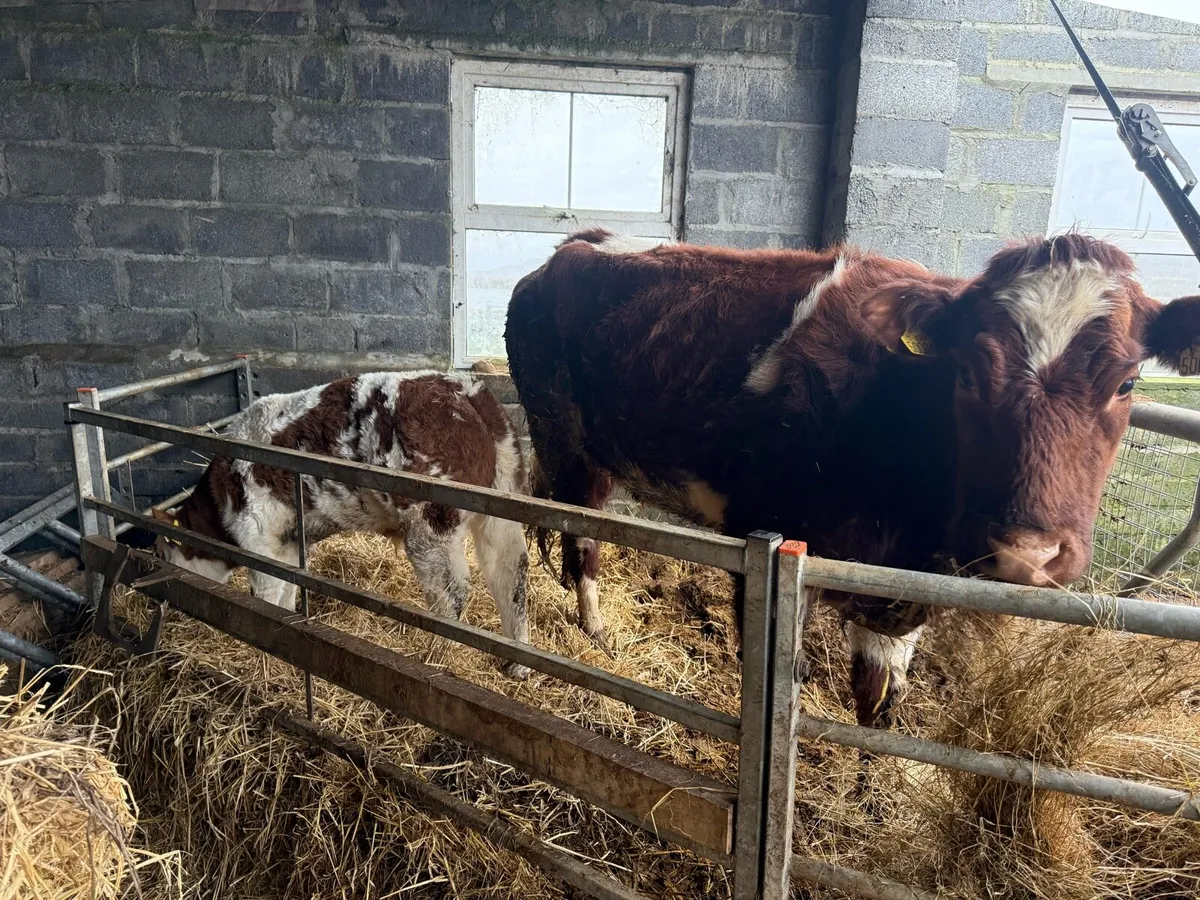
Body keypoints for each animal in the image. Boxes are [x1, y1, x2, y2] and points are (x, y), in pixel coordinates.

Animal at [143, 371, 533, 678]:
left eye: (162, 552)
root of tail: (465, 389)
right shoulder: (289, 541)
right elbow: (286, 592)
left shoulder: (259, 536)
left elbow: (265, 594)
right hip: (501, 507)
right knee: (510, 575)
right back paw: (518, 664)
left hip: (431, 524)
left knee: (452, 594)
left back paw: (436, 657)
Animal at [505, 228, 1200, 724]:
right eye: (968, 373)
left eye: (1128, 382)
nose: (1027, 554)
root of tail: (572, 246)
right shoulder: (771, 535)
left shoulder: (900, 585)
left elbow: (879, 692)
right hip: (565, 440)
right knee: (579, 535)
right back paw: (595, 628)